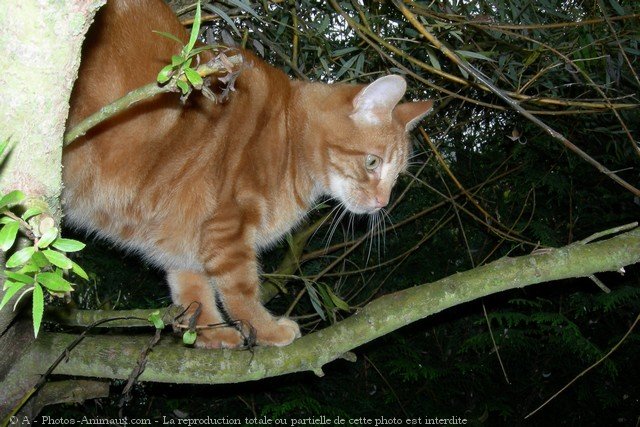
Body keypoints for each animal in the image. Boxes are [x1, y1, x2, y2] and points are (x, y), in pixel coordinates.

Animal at [63, 0, 436, 348]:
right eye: (372, 163)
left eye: (397, 176)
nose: (382, 202)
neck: (289, 141)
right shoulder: (228, 229)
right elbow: (241, 293)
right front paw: (266, 329)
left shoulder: (183, 236)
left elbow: (193, 291)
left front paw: (210, 332)